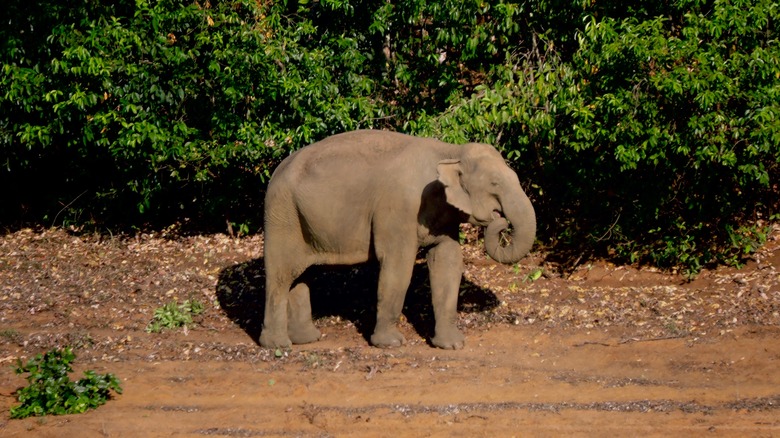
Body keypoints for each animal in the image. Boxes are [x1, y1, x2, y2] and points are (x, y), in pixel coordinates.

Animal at [260, 130, 536, 350]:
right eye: (495, 183)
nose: (500, 220)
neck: (449, 151)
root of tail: (276, 171)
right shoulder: (398, 209)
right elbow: (397, 266)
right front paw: (390, 344)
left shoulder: (444, 216)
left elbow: (447, 262)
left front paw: (452, 345)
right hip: (281, 214)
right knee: (281, 275)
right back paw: (278, 345)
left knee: (302, 275)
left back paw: (307, 339)